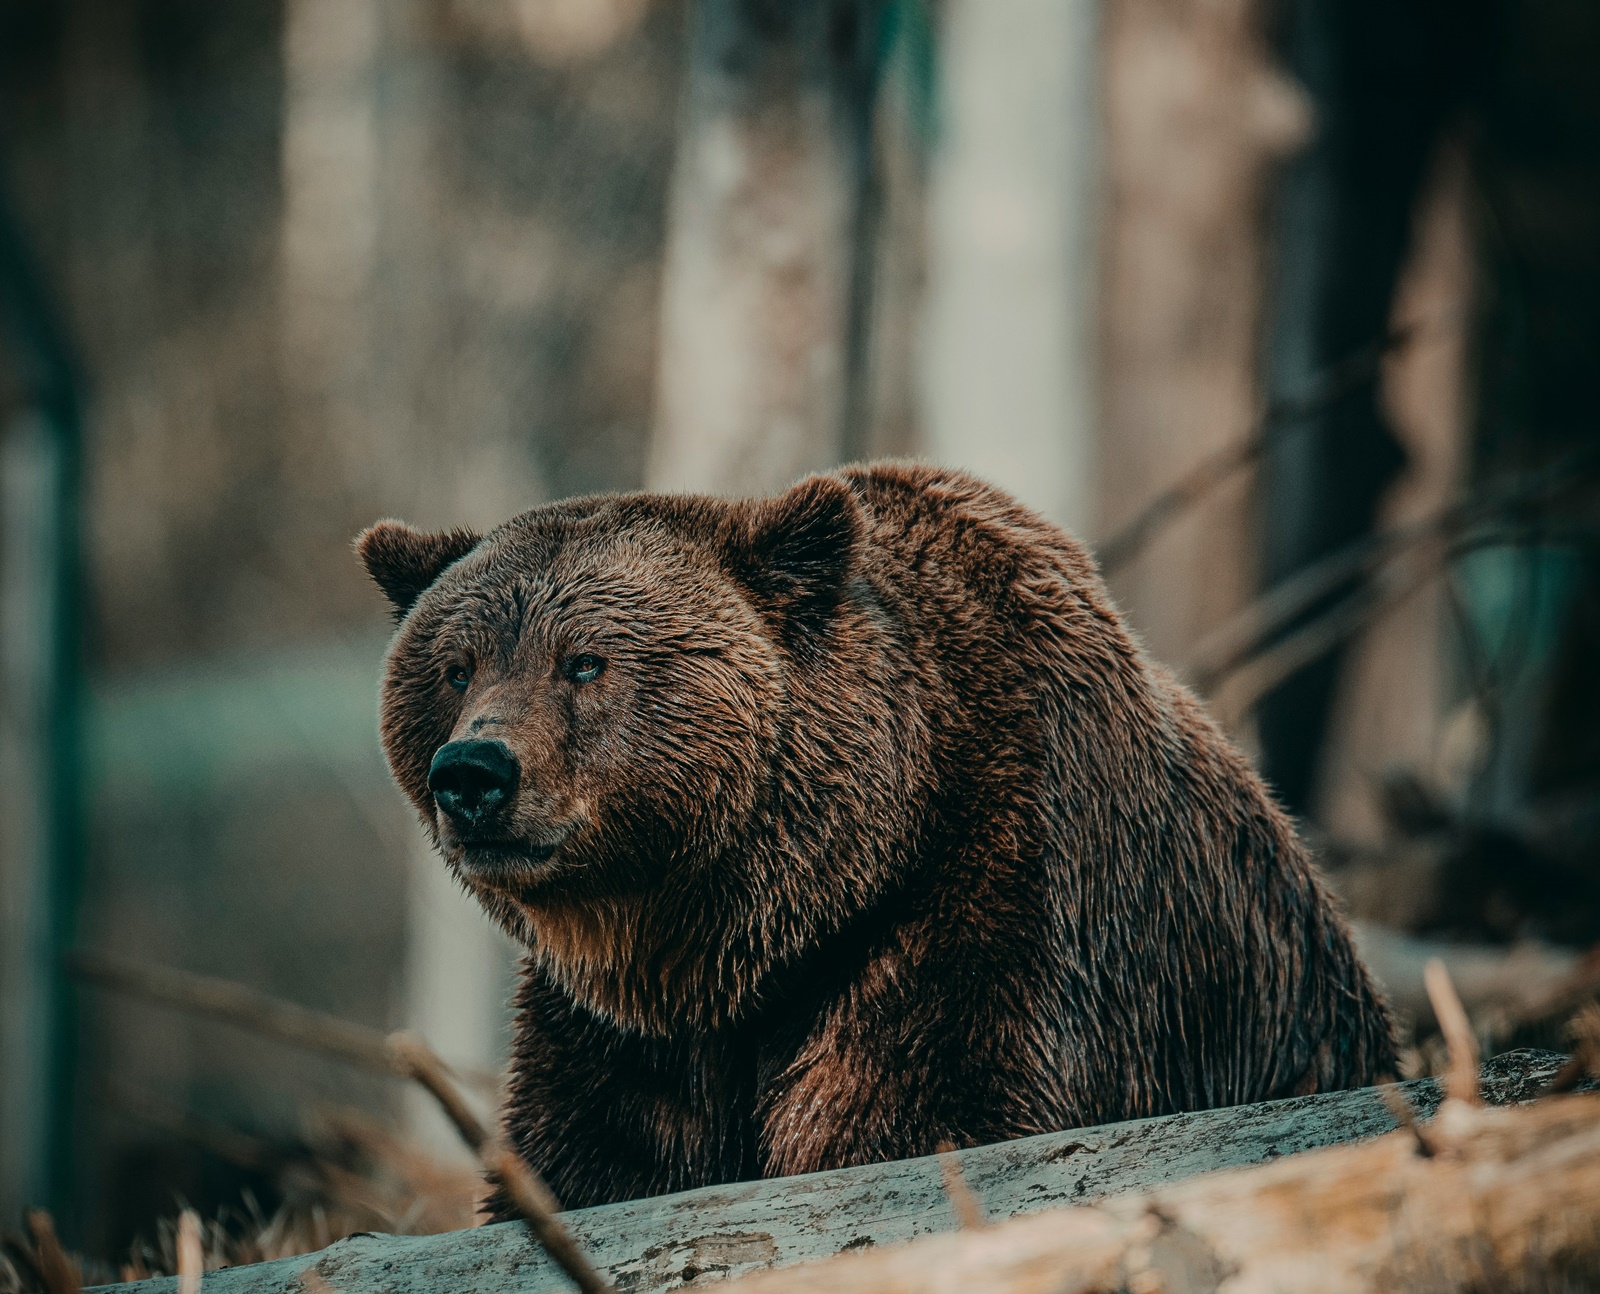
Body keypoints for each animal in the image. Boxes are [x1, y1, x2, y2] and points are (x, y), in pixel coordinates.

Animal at [356, 460, 1395, 1209]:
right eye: (455, 666)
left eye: (584, 662)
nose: (473, 774)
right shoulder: (623, 1033)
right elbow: (591, 1160)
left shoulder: (996, 900)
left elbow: (922, 1113)